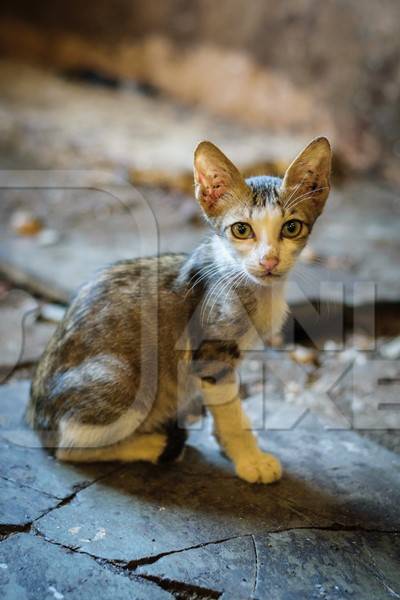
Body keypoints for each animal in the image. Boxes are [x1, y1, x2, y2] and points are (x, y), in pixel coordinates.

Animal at [27, 136, 332, 482]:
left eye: (291, 228)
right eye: (241, 230)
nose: (269, 261)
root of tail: (38, 422)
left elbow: (227, 408)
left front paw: (228, 445)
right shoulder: (212, 353)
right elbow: (230, 411)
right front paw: (249, 458)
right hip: (122, 378)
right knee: (68, 448)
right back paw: (155, 446)